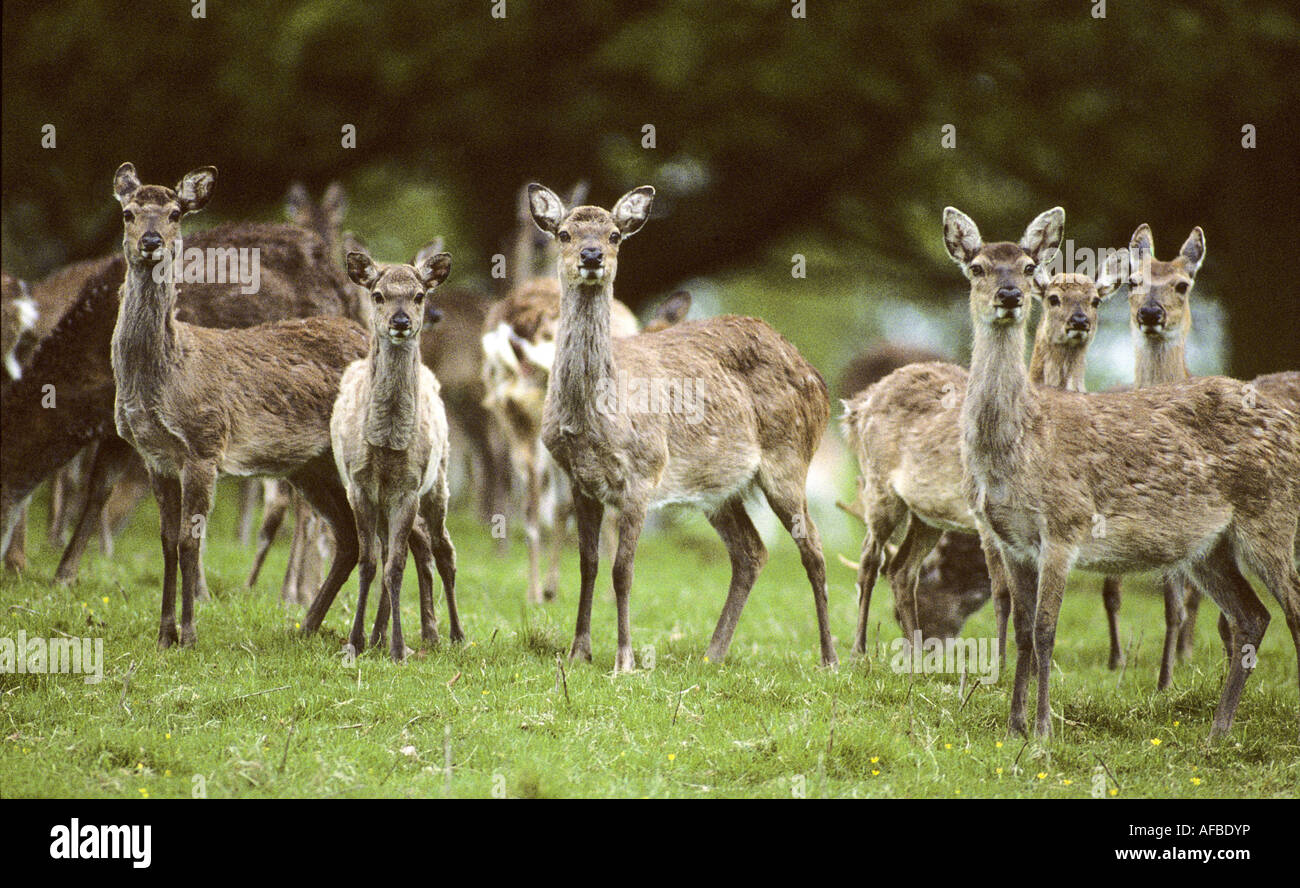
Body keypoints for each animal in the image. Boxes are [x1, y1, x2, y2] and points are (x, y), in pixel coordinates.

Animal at [107, 162, 371, 648]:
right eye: (129, 212)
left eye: (175, 213)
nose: (151, 242)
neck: (167, 375)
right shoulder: (155, 456)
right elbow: (166, 542)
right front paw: (164, 635)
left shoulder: (204, 444)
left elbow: (189, 542)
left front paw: (190, 634)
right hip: (312, 465)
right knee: (350, 538)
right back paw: (308, 625)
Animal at [331, 245, 463, 662]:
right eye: (378, 295)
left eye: (419, 295)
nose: (401, 321)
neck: (388, 443)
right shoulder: (359, 487)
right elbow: (370, 563)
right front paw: (355, 643)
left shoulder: (407, 487)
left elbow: (395, 566)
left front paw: (398, 649)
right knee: (406, 548)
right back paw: (392, 633)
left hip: (438, 481)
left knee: (443, 549)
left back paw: (455, 634)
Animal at [527, 183, 837, 671]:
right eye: (563, 233)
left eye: (615, 235)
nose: (592, 256)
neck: (595, 416)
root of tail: (817, 379)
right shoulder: (579, 479)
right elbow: (588, 564)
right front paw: (578, 652)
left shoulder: (643, 472)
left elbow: (623, 569)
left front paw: (625, 660)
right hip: (719, 487)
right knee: (752, 552)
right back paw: (712, 654)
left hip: (788, 461)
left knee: (814, 549)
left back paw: (830, 658)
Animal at [842, 264, 1121, 657]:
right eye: (1052, 298)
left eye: (1096, 300)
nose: (1079, 321)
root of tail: (859, 404)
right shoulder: (984, 519)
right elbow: (1003, 593)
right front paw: (1002, 661)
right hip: (879, 486)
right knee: (869, 560)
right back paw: (858, 652)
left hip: (925, 514)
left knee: (901, 570)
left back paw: (913, 654)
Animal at [945, 205, 1300, 740]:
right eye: (977, 267)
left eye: (1028, 268)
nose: (1009, 296)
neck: (1020, 447)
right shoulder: (1010, 540)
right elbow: (1025, 631)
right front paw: (1013, 727)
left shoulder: (1065, 526)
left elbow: (1046, 630)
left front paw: (1043, 730)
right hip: (1209, 546)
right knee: (1253, 616)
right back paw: (1217, 732)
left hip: (1271, 519)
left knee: (1292, 610)